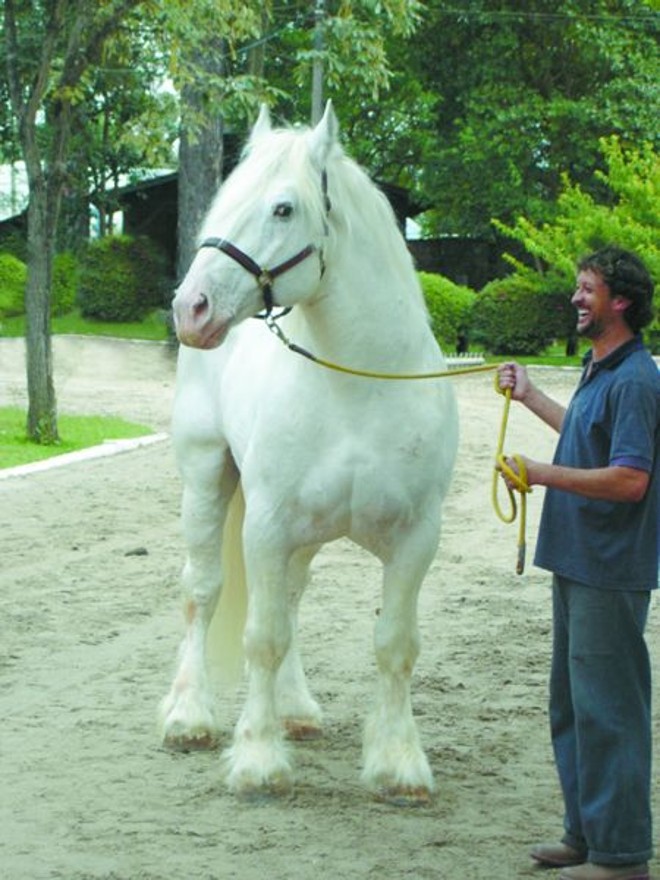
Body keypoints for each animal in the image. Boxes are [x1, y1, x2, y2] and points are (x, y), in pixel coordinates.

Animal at [162, 101, 459, 803]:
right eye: (223, 204)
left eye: (283, 208)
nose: (191, 309)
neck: (358, 389)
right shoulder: (267, 526)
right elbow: (262, 637)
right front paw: (257, 760)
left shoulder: (416, 538)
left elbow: (395, 644)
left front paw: (398, 763)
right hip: (206, 479)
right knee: (203, 593)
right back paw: (189, 715)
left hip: (304, 536)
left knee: (292, 599)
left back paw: (295, 710)